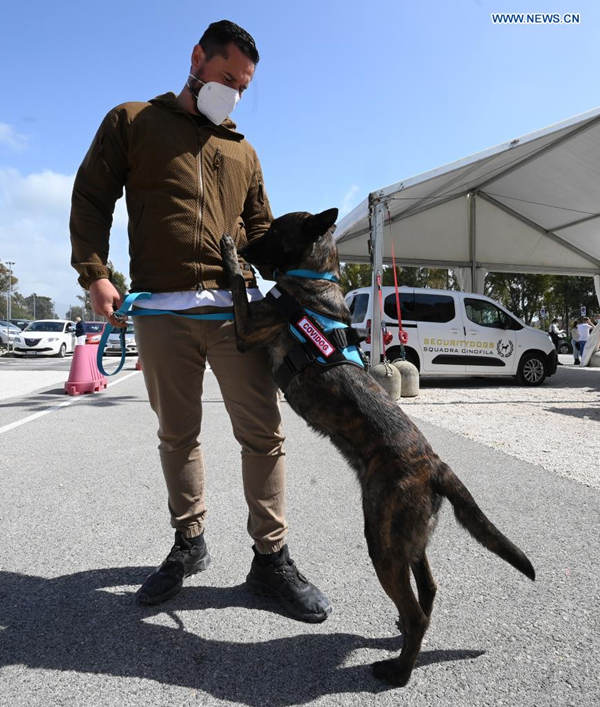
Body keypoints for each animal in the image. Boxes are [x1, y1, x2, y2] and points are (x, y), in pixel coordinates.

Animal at [219, 209, 536, 684]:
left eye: (274, 229)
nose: (244, 239)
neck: (313, 278)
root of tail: (435, 465)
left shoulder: (248, 330)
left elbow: (239, 288)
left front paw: (230, 260)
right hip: (410, 541)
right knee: (428, 591)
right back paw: (403, 638)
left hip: (383, 541)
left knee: (417, 607)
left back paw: (398, 671)